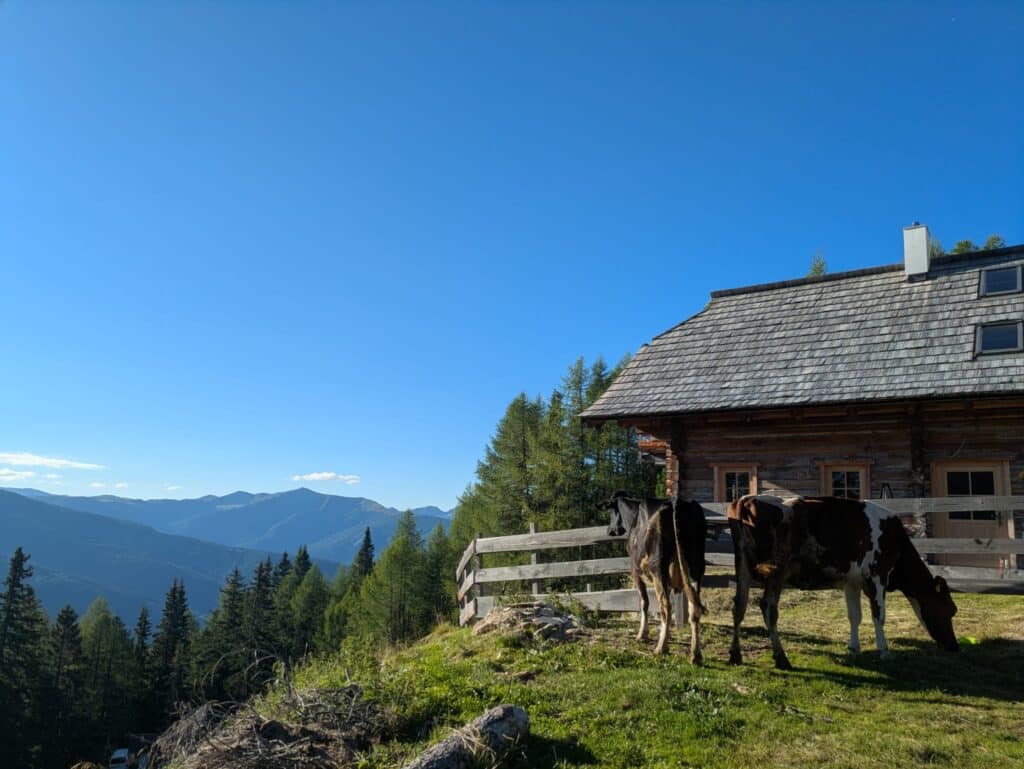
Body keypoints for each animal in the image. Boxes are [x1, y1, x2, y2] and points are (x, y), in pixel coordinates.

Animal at [607, 491, 707, 662]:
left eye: (611, 512)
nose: (609, 530)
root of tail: (675, 502)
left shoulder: (635, 571)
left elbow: (644, 602)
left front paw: (643, 634)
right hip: (697, 567)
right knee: (694, 608)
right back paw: (695, 654)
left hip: (657, 568)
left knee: (665, 606)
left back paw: (661, 649)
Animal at [727, 494, 959, 670]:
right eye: (949, 610)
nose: (954, 646)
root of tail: (747, 499)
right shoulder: (878, 574)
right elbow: (878, 615)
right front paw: (884, 651)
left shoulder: (851, 581)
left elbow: (854, 616)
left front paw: (854, 648)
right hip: (777, 570)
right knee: (768, 607)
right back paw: (781, 658)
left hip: (743, 566)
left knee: (739, 605)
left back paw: (735, 655)